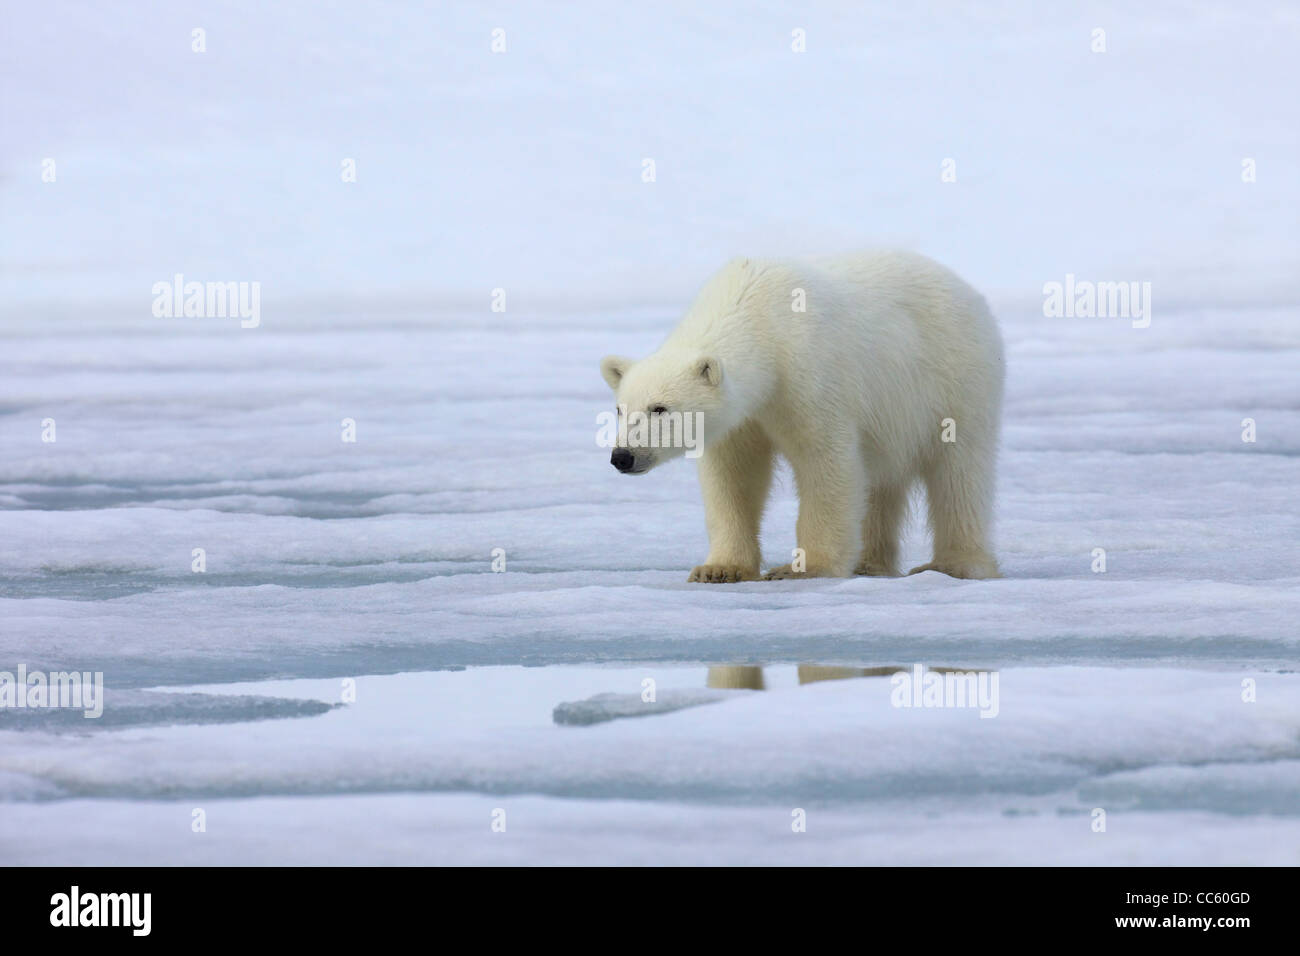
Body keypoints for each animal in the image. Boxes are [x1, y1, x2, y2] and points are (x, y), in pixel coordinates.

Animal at [598, 252, 1003, 582]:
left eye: (660, 408)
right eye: (620, 409)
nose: (622, 456)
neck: (758, 316)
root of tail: (971, 292)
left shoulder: (808, 372)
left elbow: (825, 461)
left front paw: (803, 568)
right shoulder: (742, 417)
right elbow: (733, 476)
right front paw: (719, 569)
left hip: (955, 383)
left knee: (958, 474)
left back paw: (956, 564)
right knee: (881, 481)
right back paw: (869, 563)